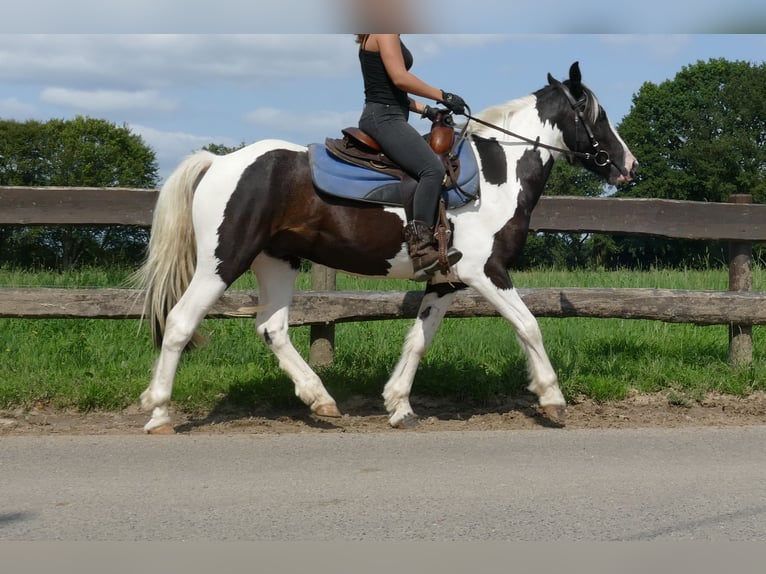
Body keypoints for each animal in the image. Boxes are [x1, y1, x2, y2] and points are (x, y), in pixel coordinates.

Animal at [135, 60, 640, 434]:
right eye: (597, 115)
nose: (629, 166)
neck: (498, 173)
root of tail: (219, 162)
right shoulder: (486, 271)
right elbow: (529, 326)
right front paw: (552, 397)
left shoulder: (447, 279)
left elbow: (419, 338)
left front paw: (399, 404)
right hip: (223, 260)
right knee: (179, 322)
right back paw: (159, 411)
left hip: (277, 261)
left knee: (272, 329)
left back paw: (321, 400)